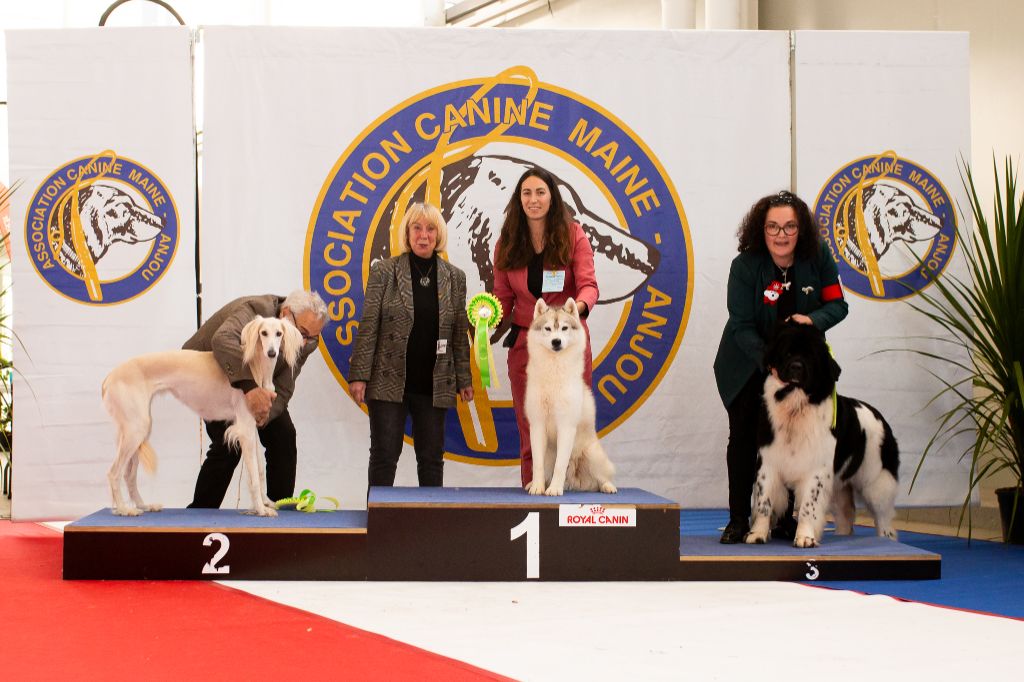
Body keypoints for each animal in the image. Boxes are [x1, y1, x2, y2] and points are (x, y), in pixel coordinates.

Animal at [102, 315, 301, 512]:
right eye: (263, 333)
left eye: (279, 333)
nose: (272, 353)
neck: (256, 366)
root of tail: (110, 377)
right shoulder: (245, 428)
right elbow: (253, 477)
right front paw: (260, 509)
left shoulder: (252, 427)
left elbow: (258, 471)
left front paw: (266, 503)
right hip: (136, 429)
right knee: (113, 473)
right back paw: (124, 509)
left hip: (138, 432)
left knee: (129, 475)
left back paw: (143, 506)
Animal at [741, 321, 901, 548]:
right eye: (787, 353)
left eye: (811, 357)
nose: (796, 367)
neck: (796, 404)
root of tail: (880, 417)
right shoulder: (768, 463)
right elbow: (764, 501)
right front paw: (757, 534)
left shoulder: (816, 470)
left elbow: (808, 506)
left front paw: (805, 537)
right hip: (838, 485)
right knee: (846, 514)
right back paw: (843, 535)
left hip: (877, 481)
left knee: (883, 517)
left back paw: (886, 539)